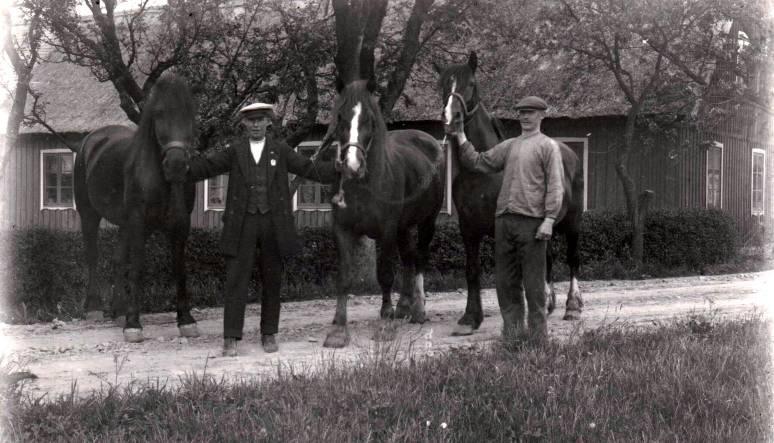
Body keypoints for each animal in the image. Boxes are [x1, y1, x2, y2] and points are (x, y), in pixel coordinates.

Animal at [75, 73, 199, 344]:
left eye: (191, 113)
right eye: (159, 113)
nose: (176, 165)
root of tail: (91, 139)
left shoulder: (180, 223)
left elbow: (179, 267)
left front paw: (186, 320)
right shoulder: (138, 220)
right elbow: (138, 267)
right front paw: (133, 324)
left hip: (125, 224)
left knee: (118, 259)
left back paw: (119, 310)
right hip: (89, 214)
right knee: (93, 256)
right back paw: (94, 308)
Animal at [322, 80, 446, 350]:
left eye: (369, 119)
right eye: (340, 117)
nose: (352, 165)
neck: (364, 185)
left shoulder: (387, 230)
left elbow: (386, 274)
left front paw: (385, 324)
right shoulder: (342, 230)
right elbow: (344, 277)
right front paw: (338, 329)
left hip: (427, 222)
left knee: (419, 258)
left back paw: (418, 310)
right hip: (404, 227)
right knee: (409, 257)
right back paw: (404, 307)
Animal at [440, 53, 584, 336]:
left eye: (471, 83)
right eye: (441, 85)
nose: (452, 119)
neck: (482, 173)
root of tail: (569, 154)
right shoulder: (468, 229)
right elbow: (472, 270)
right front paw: (470, 318)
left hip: (572, 222)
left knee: (572, 258)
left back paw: (572, 307)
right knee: (547, 258)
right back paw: (548, 303)